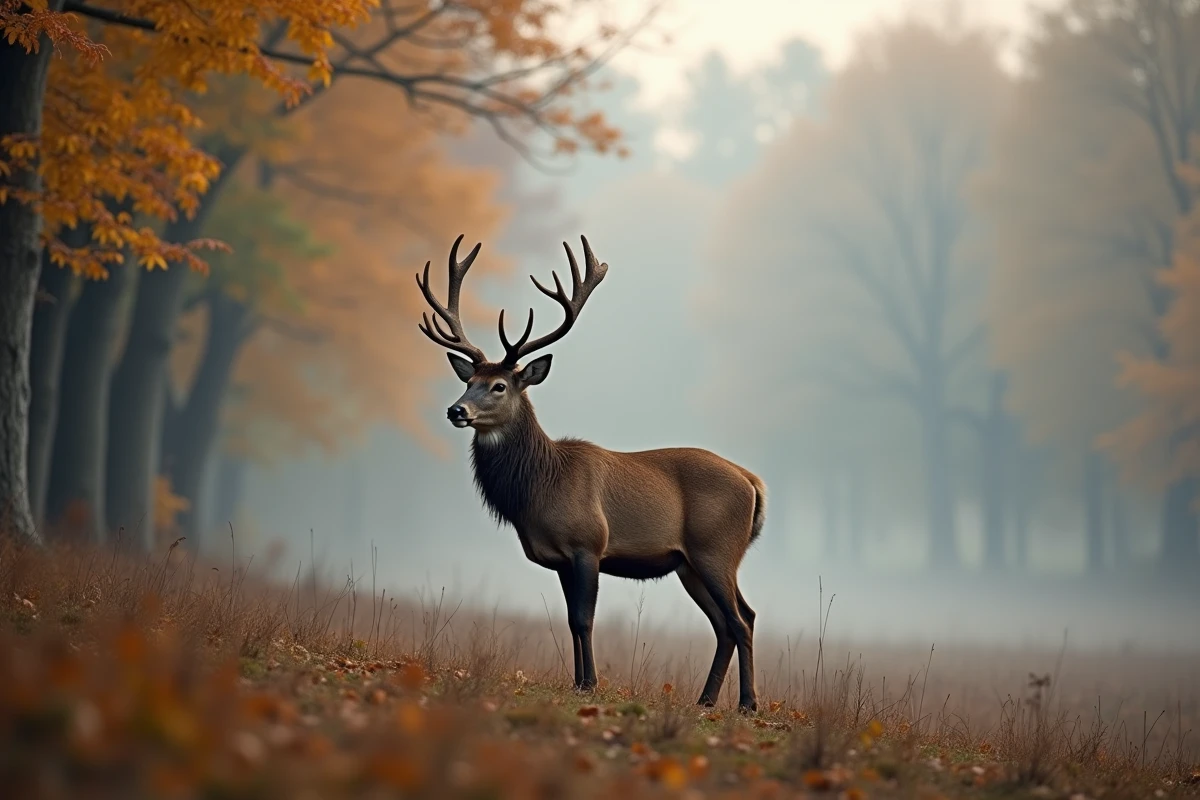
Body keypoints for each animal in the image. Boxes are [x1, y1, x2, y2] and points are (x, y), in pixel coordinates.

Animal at [416, 234, 766, 712]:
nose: (456, 410)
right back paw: (706, 700)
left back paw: (747, 703)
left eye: (499, 385)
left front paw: (591, 684)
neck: (542, 487)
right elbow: (569, 620)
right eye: (468, 381)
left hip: (717, 549)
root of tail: (753, 483)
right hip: (689, 564)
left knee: (742, 618)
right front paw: (578, 681)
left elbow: (584, 619)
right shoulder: (561, 558)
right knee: (726, 623)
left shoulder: (589, 544)